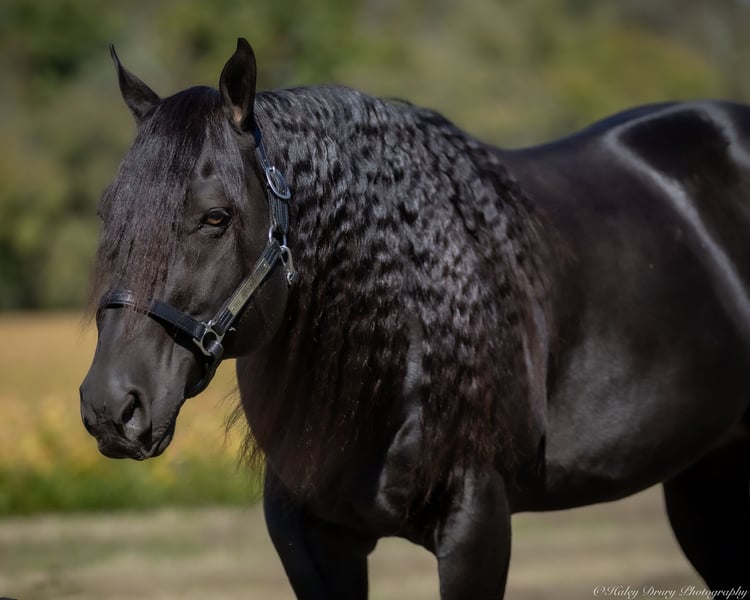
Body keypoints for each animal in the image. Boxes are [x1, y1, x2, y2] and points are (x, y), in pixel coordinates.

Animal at [80, 38, 750, 598]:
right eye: (110, 211)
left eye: (215, 217)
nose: (111, 407)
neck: (403, 343)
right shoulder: (309, 541)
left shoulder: (476, 525)